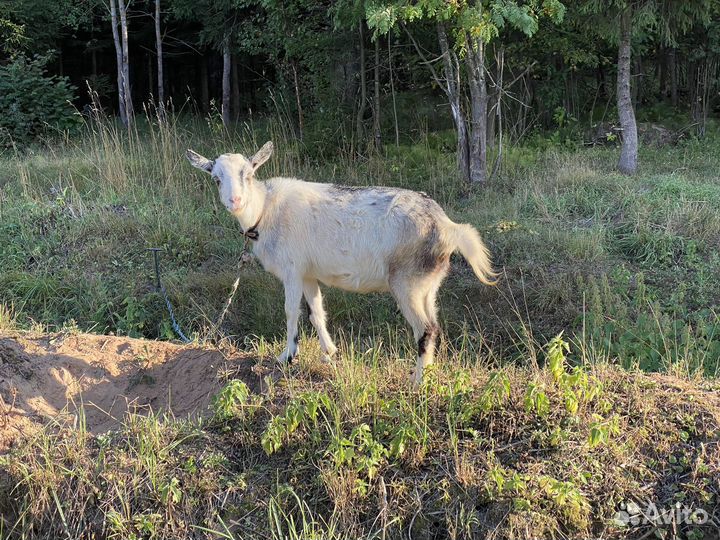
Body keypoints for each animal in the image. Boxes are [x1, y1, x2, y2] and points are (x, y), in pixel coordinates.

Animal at [186, 142, 496, 383]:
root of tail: (447, 226)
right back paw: (427, 374)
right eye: (216, 178)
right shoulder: (308, 274)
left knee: (425, 329)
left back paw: (417, 382)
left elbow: (290, 311)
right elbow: (316, 312)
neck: (265, 210)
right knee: (434, 326)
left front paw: (288, 356)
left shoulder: (292, 269)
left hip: (406, 282)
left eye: (248, 174)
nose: (235, 200)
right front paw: (329, 353)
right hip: (428, 285)